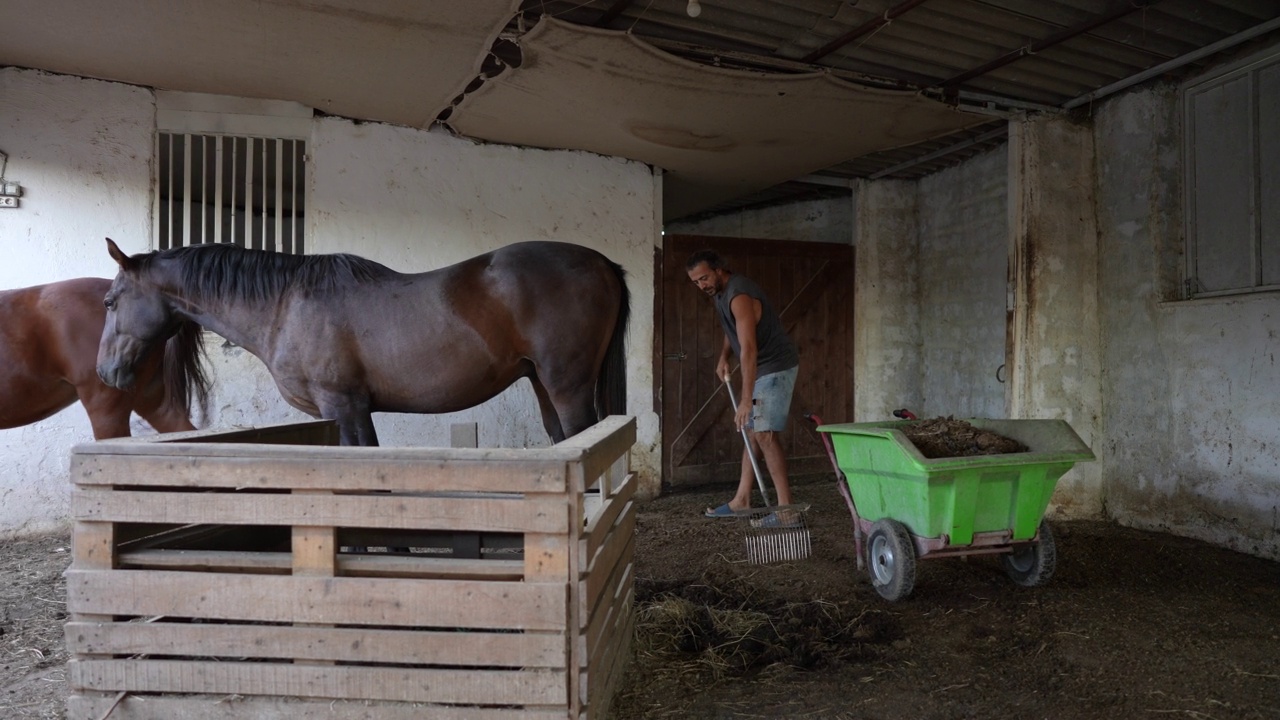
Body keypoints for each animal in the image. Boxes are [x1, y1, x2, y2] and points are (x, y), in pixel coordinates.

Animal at [96, 238, 629, 445]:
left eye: (110, 300)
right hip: (541, 383)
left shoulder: (344, 406)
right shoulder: (344, 413)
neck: (285, 304)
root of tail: (602, 262)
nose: (105, 371)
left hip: (567, 386)